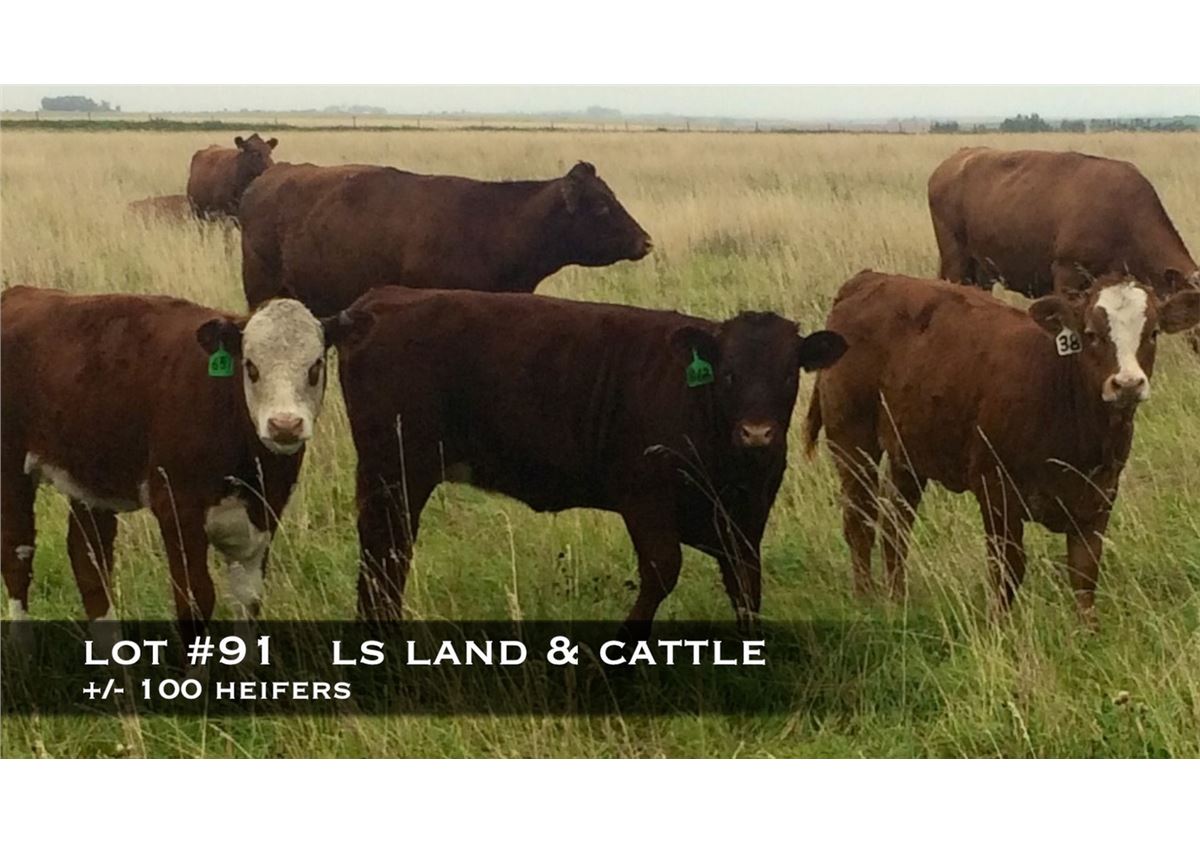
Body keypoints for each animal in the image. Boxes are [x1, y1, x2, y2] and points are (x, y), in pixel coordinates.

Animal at [0, 286, 355, 641]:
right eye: (251, 368)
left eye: (315, 367)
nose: (284, 425)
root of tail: (21, 292)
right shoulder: (177, 508)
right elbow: (196, 600)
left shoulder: (264, 514)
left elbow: (248, 599)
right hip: (12, 468)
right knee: (18, 553)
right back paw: (23, 648)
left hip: (91, 476)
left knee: (88, 559)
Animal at [332, 287, 846, 631]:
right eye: (729, 373)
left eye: (788, 374)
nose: (757, 433)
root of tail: (379, 301)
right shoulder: (645, 497)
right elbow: (662, 571)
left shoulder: (745, 519)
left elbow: (746, 585)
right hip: (395, 472)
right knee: (386, 552)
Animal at [804, 270, 1200, 625]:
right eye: (1091, 334)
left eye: (1152, 333)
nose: (1128, 384)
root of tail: (868, 279)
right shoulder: (996, 490)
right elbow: (1008, 566)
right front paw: (1000, 626)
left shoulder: (1099, 497)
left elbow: (1085, 571)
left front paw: (1087, 634)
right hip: (853, 441)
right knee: (859, 520)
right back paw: (865, 599)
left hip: (908, 453)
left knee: (896, 524)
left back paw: (897, 598)